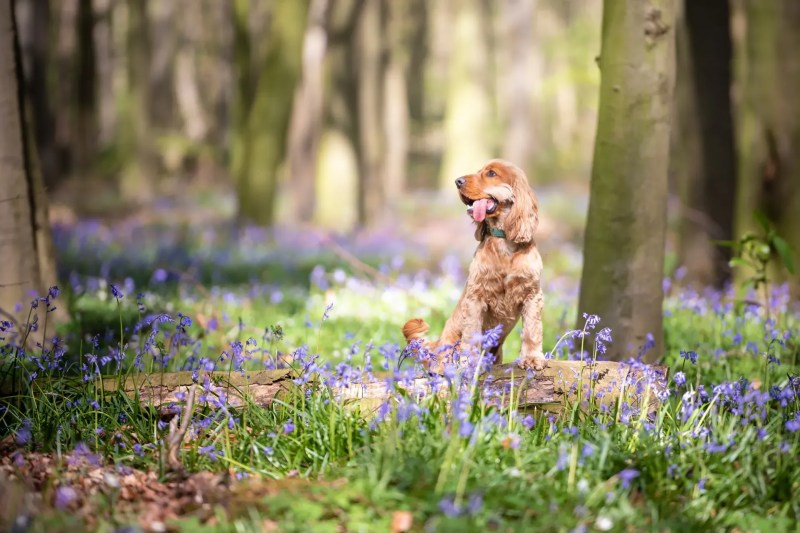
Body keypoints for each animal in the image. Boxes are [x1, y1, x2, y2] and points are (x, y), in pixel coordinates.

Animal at [404, 159, 548, 370]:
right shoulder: (476, 296)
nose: (458, 181)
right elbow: (471, 333)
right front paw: (469, 363)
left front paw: (532, 358)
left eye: (491, 173)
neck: (503, 241)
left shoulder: (532, 294)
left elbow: (532, 329)